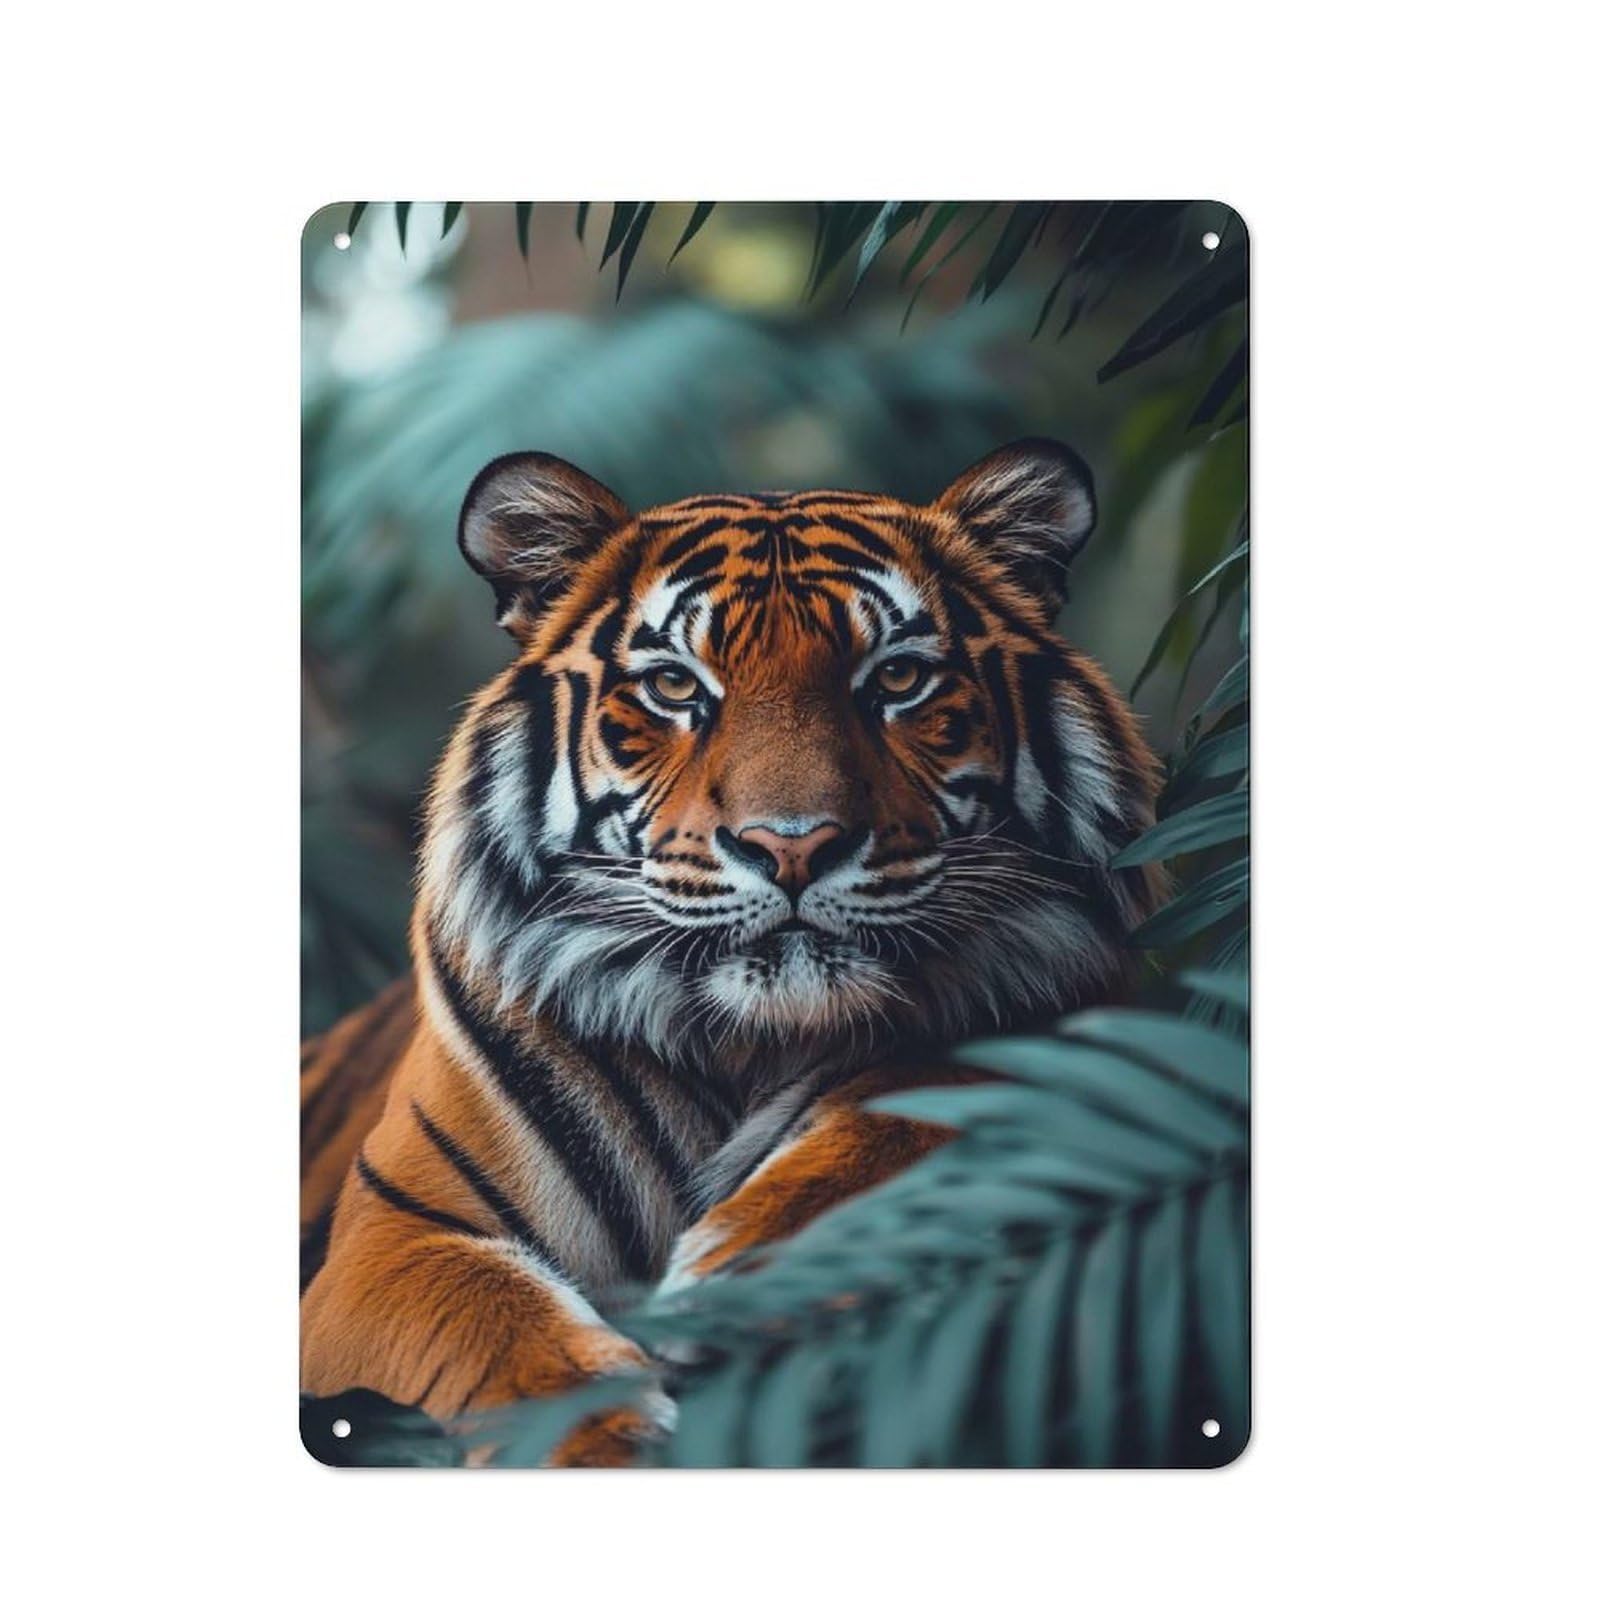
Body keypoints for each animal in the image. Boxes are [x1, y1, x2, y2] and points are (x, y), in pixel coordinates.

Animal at [299, 438, 1163, 1464]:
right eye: (676, 687)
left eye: (897, 680)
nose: (792, 845)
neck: (747, 1041)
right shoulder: (395, 1239)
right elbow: (493, 1331)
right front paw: (603, 1444)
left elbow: (913, 1109)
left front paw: (741, 1276)